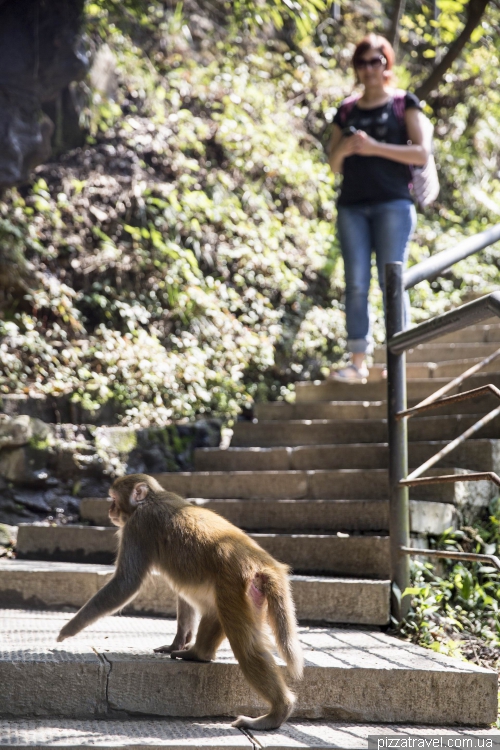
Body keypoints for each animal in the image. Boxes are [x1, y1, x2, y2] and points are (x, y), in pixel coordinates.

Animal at [56, 472, 302, 732]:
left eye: (113, 499)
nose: (110, 509)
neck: (150, 500)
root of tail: (263, 564)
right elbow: (184, 598)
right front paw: (177, 643)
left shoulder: (137, 527)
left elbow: (126, 583)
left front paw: (69, 628)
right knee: (215, 611)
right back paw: (199, 654)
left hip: (235, 585)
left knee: (247, 648)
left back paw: (276, 713)